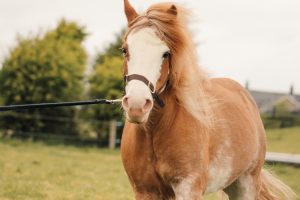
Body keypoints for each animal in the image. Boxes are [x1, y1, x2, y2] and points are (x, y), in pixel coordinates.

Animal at [119, 0, 296, 199]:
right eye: (125, 50)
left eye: (166, 53)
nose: (136, 105)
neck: (157, 130)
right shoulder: (145, 191)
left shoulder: (188, 188)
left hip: (246, 184)